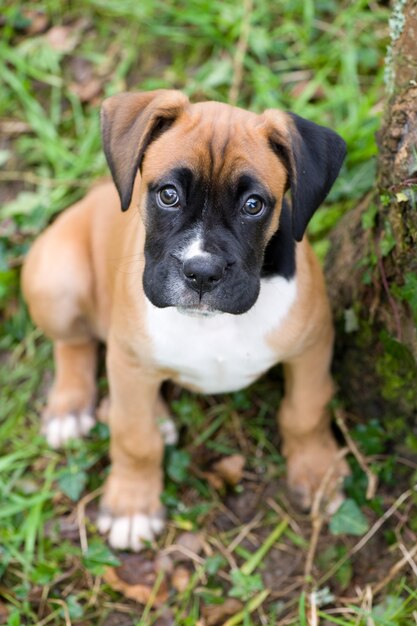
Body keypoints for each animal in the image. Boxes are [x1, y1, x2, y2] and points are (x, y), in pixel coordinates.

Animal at [22, 90, 348, 548]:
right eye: (169, 195)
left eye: (254, 205)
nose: (202, 272)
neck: (211, 322)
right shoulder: (128, 360)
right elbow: (134, 436)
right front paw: (133, 506)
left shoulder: (312, 347)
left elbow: (307, 411)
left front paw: (318, 473)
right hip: (58, 281)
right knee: (74, 345)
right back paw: (70, 407)